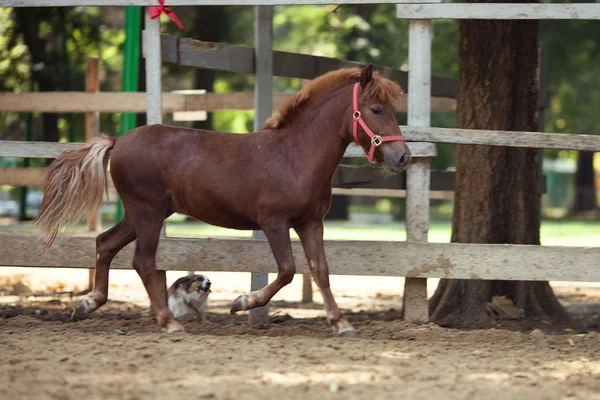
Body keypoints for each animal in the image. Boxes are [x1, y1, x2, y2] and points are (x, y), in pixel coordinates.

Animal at [35, 64, 410, 336]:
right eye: (376, 109)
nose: (403, 157)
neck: (294, 155)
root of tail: (118, 141)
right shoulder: (274, 223)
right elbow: (288, 270)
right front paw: (241, 302)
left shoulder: (310, 223)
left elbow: (321, 270)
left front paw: (341, 323)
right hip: (148, 213)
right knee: (142, 261)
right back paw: (168, 323)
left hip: (140, 214)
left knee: (105, 243)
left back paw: (88, 304)